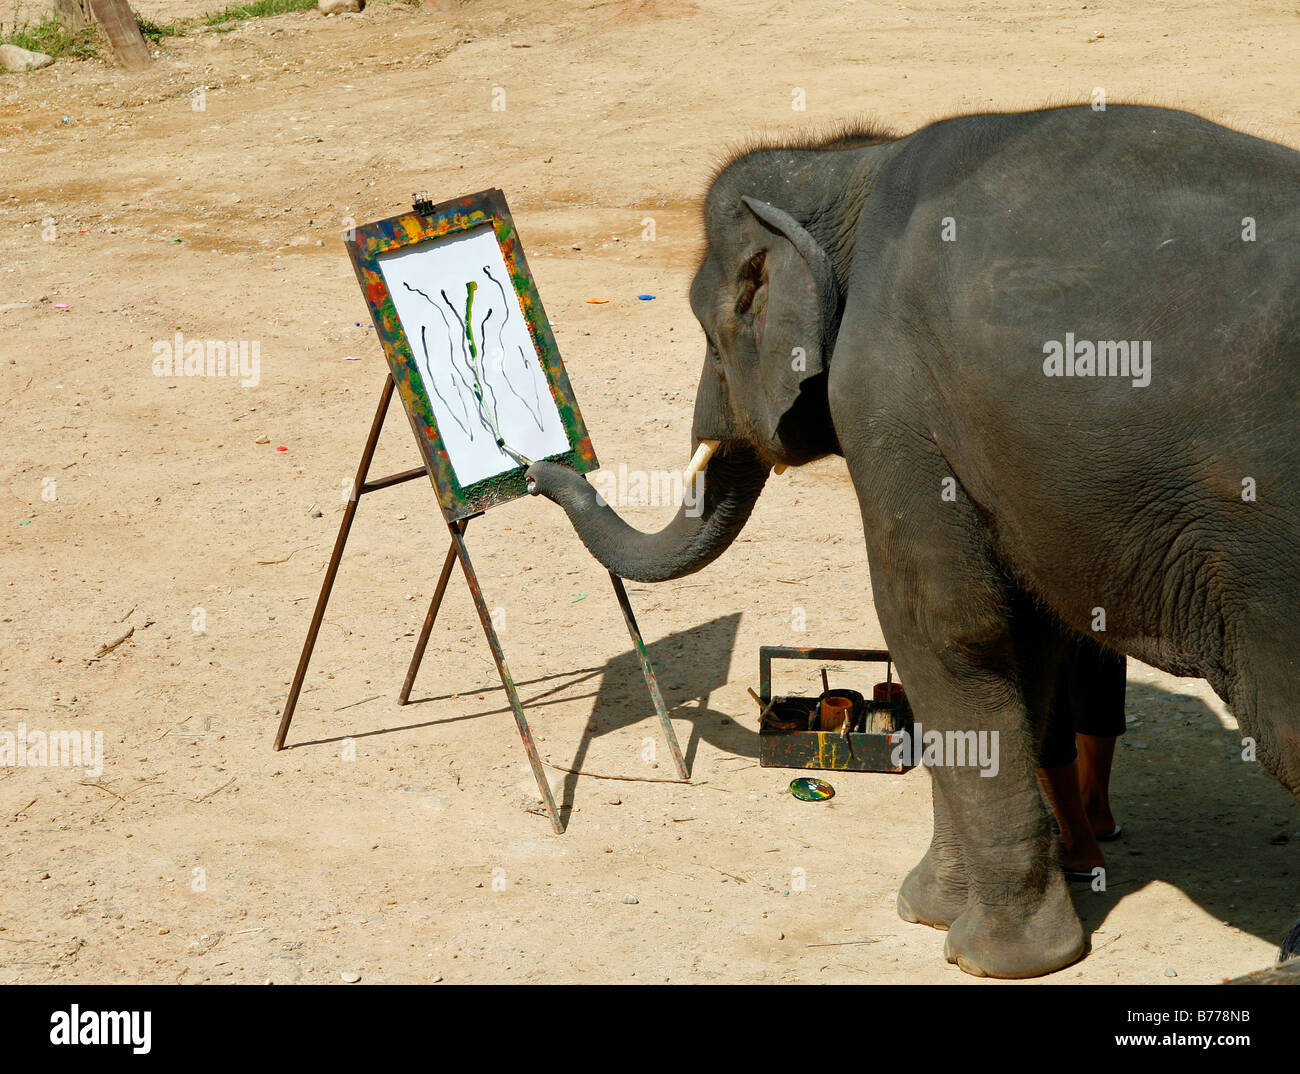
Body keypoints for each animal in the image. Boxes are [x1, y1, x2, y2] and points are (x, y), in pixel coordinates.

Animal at [526, 103, 1300, 979]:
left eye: (712, 330)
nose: (535, 469)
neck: (851, 164)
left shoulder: (889, 400)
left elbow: (942, 626)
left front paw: (987, 952)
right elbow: (1024, 639)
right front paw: (932, 910)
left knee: (1284, 725)